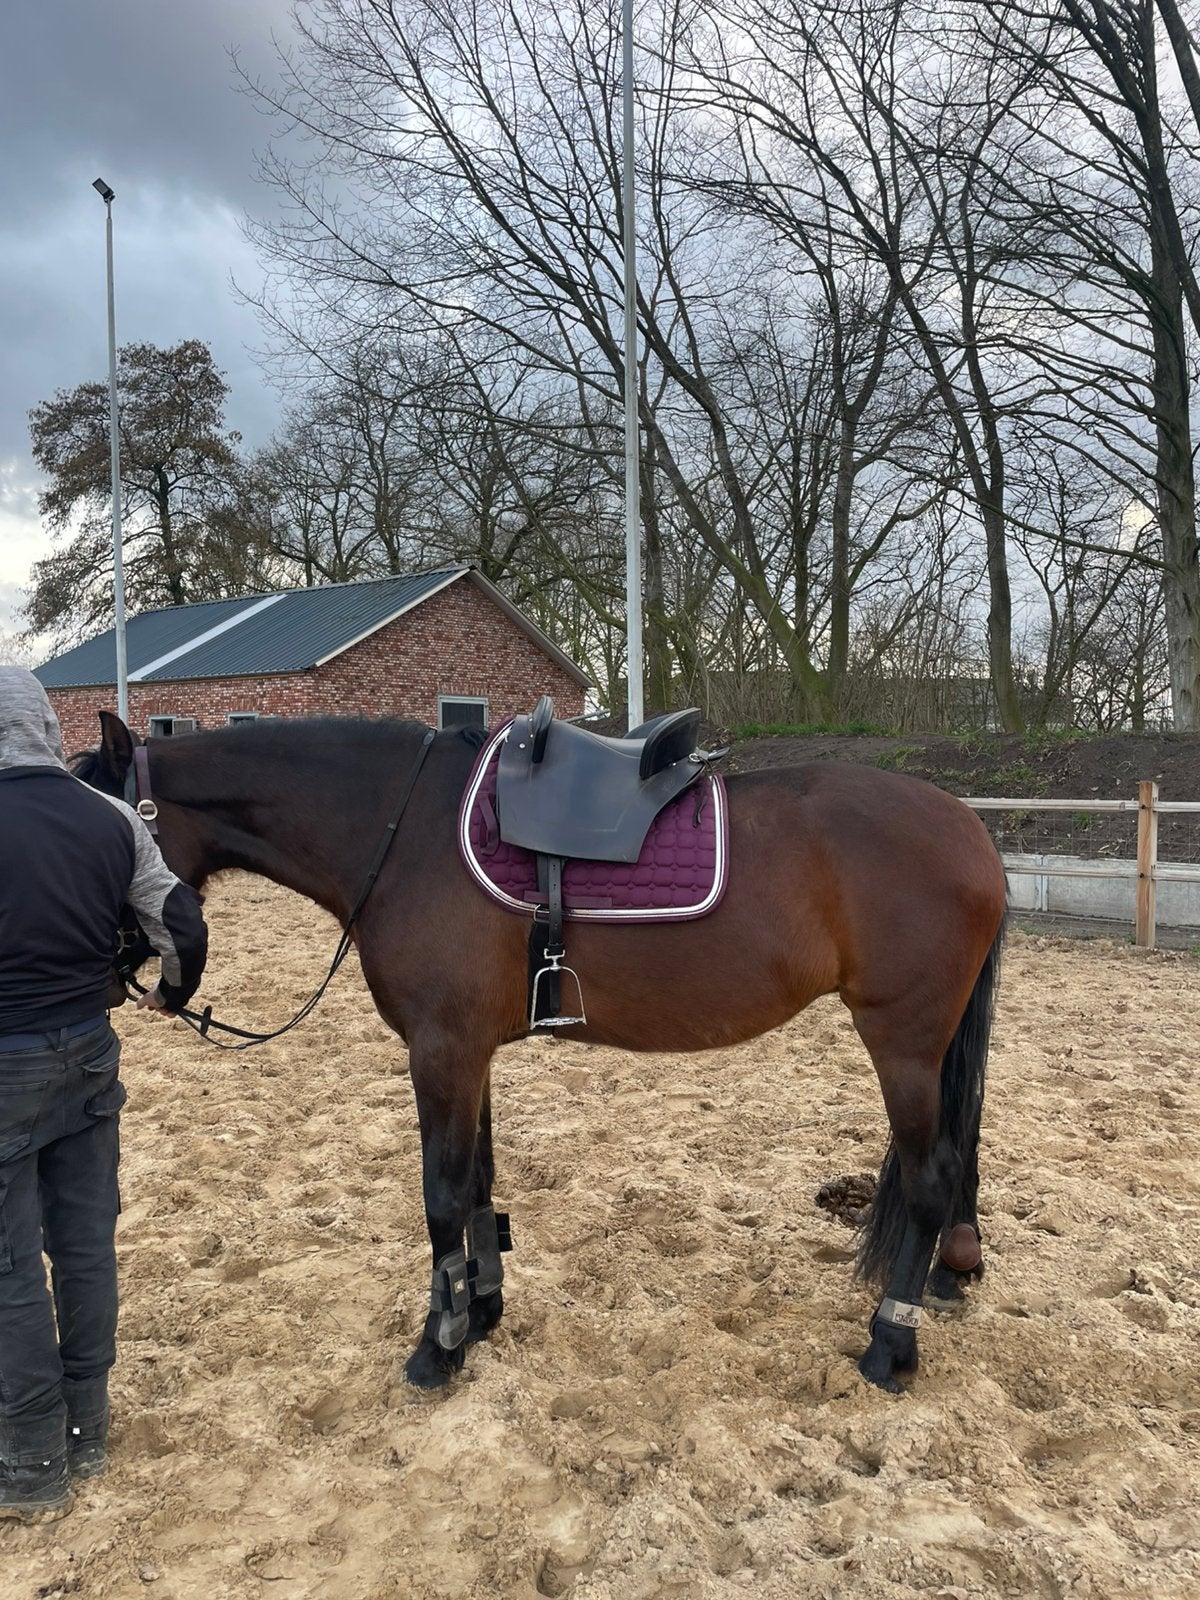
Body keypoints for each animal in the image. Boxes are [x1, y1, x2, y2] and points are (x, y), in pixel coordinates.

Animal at [75, 710, 1007, 1395]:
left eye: (110, 832)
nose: (125, 976)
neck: (403, 828)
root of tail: (971, 830)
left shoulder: (441, 1050)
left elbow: (441, 1195)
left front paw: (440, 1344)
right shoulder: (469, 1052)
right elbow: (480, 1184)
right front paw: (482, 1307)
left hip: (903, 1041)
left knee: (930, 1181)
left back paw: (891, 1346)